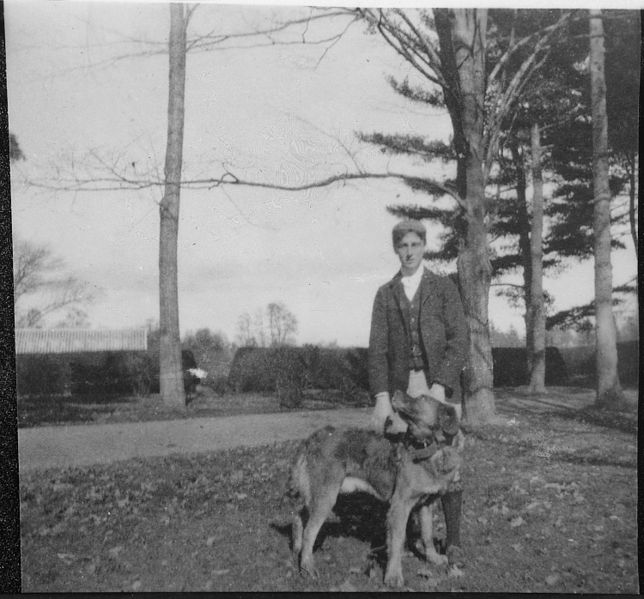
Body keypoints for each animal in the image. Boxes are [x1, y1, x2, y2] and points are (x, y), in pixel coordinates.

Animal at [286, 392, 462, 588]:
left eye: (422, 398)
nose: (397, 392)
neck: (430, 449)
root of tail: (314, 437)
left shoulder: (426, 504)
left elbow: (427, 535)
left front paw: (433, 558)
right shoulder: (399, 506)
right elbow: (397, 542)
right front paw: (393, 576)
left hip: (317, 494)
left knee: (299, 515)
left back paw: (297, 548)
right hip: (326, 497)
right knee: (309, 531)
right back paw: (308, 567)